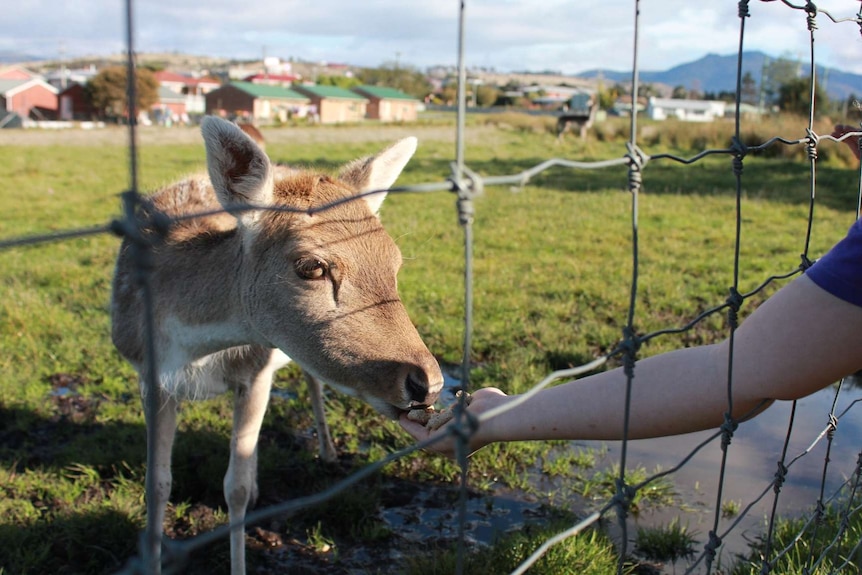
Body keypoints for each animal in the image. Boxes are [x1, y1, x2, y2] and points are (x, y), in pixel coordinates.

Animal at [110, 117, 442, 575]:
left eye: (394, 262)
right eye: (313, 267)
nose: (427, 382)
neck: (195, 348)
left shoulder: (257, 371)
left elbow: (232, 487)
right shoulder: (150, 376)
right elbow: (157, 484)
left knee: (313, 382)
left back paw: (327, 453)